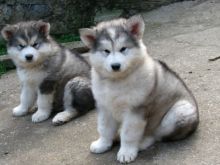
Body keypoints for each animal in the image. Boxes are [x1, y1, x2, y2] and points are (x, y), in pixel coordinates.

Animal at [79, 15, 199, 164]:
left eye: (123, 49)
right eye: (106, 51)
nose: (115, 66)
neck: (117, 81)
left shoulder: (135, 111)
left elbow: (129, 134)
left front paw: (126, 152)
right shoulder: (105, 107)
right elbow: (104, 128)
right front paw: (102, 144)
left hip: (179, 112)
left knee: (157, 135)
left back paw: (142, 143)